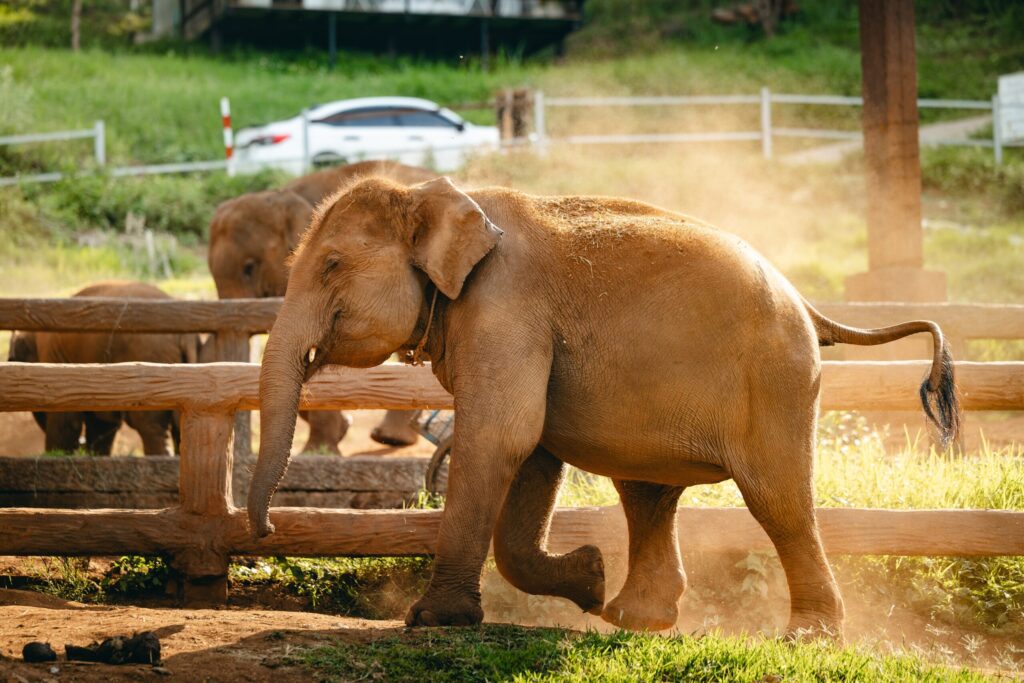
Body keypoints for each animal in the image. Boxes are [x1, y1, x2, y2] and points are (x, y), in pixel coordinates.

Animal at [9, 280, 202, 456]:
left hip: (151, 355)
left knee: (150, 427)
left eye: (12, 359)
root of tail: (185, 336)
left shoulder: (54, 356)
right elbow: (101, 424)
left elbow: (67, 421)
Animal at [246, 176, 960, 637]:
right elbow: (530, 450)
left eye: (331, 265)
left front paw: (429, 621)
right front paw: (588, 576)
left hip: (777, 381)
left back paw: (807, 638)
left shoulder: (506, 306)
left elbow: (502, 435)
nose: (269, 532)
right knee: (647, 494)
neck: (429, 191)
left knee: (777, 502)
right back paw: (630, 616)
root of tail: (809, 305)